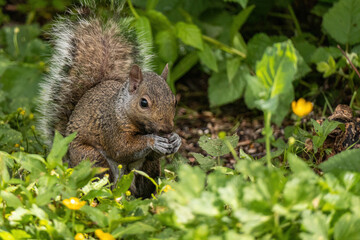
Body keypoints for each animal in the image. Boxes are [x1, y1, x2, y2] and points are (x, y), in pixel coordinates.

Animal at [37, 0, 180, 198]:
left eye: (174, 101)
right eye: (143, 103)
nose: (167, 129)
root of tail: (68, 161)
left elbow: (151, 154)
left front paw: (175, 140)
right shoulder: (110, 126)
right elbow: (122, 148)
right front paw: (153, 141)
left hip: (148, 169)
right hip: (92, 160)